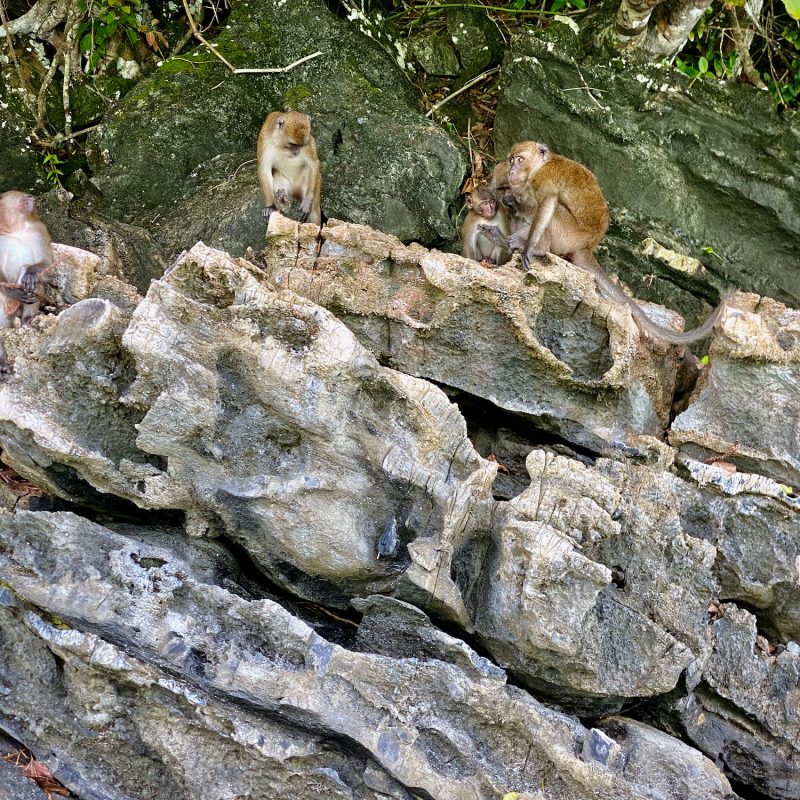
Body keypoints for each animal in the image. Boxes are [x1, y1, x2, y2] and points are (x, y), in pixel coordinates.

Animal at [0, 191, 53, 373]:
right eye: (23, 197)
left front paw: (29, 272)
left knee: (35, 283)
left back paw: (27, 319)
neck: (15, 230)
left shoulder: (40, 230)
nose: (31, 196)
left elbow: (49, 265)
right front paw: (13, 291)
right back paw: (2, 363)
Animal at [482, 142, 729, 345]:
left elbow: (547, 203)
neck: (538, 167)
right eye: (511, 159)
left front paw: (529, 246)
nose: (511, 170)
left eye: (520, 159)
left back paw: (535, 246)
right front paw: (510, 204)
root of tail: (587, 246)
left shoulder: (543, 181)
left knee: (554, 211)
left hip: (569, 234)